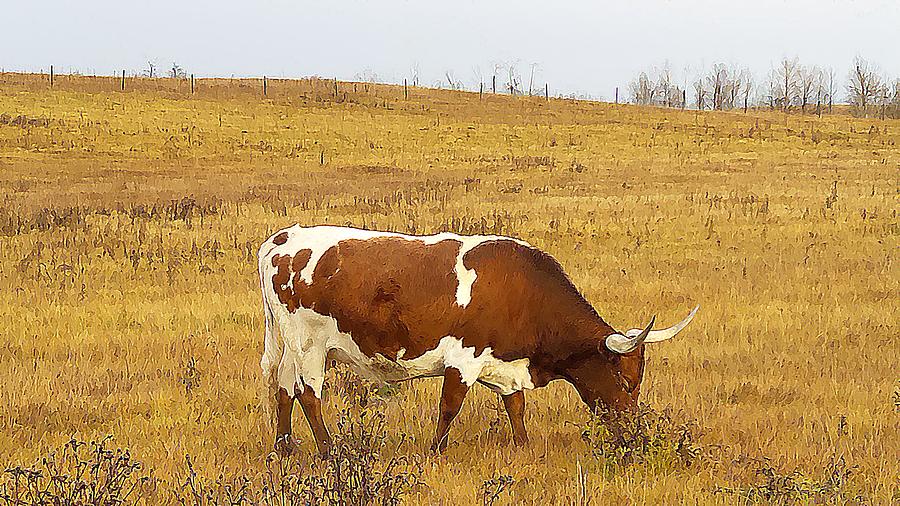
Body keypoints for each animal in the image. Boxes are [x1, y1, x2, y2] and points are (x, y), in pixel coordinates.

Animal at [256, 225, 700, 454]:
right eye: (624, 380)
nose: (636, 435)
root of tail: (283, 238)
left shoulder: (505, 365)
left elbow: (516, 407)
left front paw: (523, 447)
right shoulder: (463, 360)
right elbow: (449, 407)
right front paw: (435, 451)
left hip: (292, 346)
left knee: (283, 387)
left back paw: (284, 446)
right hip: (309, 346)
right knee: (308, 393)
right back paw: (331, 451)